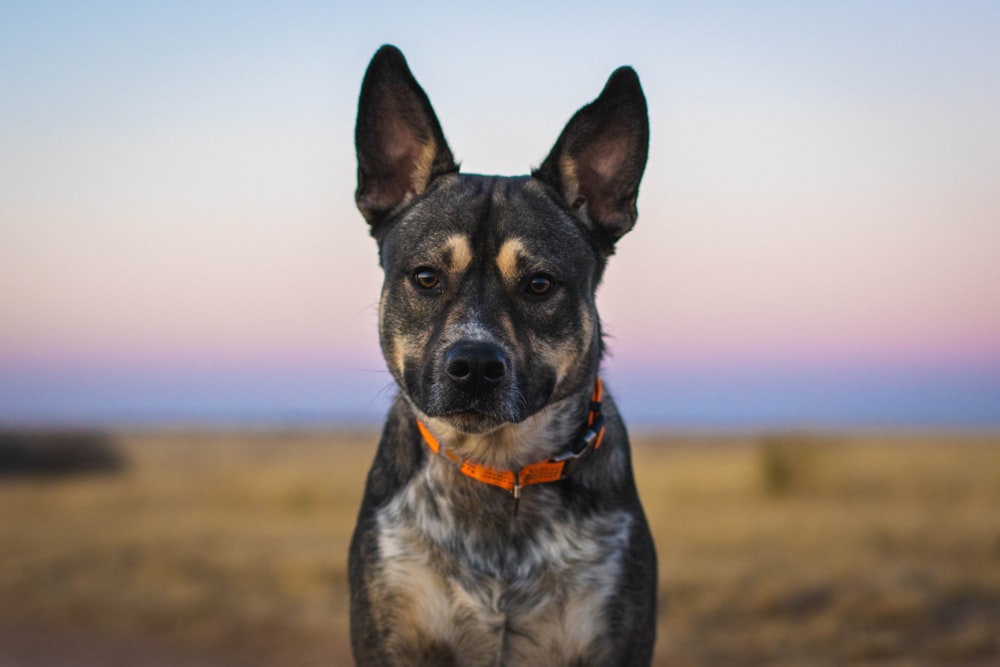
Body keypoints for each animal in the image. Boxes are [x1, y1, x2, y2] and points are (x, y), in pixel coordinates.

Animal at [348, 44, 660, 664]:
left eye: (540, 284)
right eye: (426, 277)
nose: (473, 366)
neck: (497, 469)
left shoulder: (615, 637)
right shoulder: (389, 631)